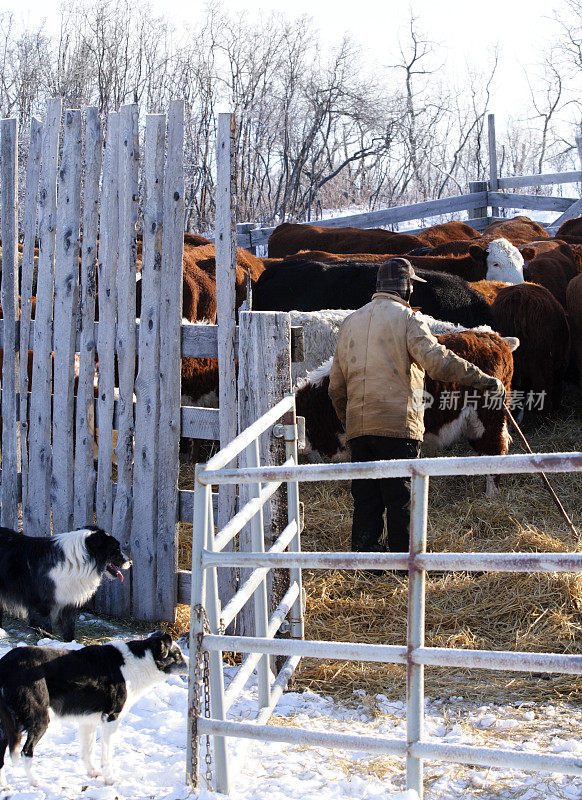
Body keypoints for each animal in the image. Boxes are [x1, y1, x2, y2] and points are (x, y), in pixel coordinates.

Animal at [0, 524, 132, 644]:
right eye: (116, 548)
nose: (130, 562)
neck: (79, 560)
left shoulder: (68, 601)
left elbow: (69, 627)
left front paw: (70, 644)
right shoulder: (41, 604)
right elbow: (45, 627)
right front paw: (47, 642)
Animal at [0, 636, 188, 784]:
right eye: (177, 654)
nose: (193, 662)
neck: (140, 661)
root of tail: (6, 664)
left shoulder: (88, 721)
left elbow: (87, 751)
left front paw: (92, 773)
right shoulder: (111, 718)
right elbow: (106, 756)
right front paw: (110, 779)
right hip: (40, 720)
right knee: (26, 752)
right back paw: (35, 781)